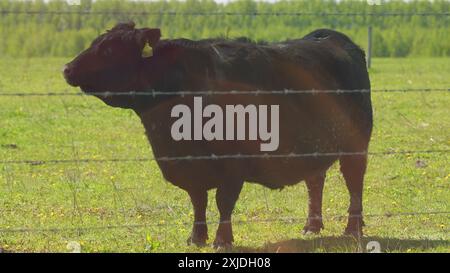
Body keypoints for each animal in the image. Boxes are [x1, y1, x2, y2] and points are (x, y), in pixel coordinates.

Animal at [63, 21, 372, 246]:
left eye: (109, 50)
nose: (67, 68)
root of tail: (329, 35)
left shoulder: (232, 166)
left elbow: (224, 203)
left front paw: (222, 240)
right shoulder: (190, 167)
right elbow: (198, 201)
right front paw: (196, 238)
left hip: (356, 146)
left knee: (354, 184)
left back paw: (353, 228)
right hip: (314, 147)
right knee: (315, 181)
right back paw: (312, 226)